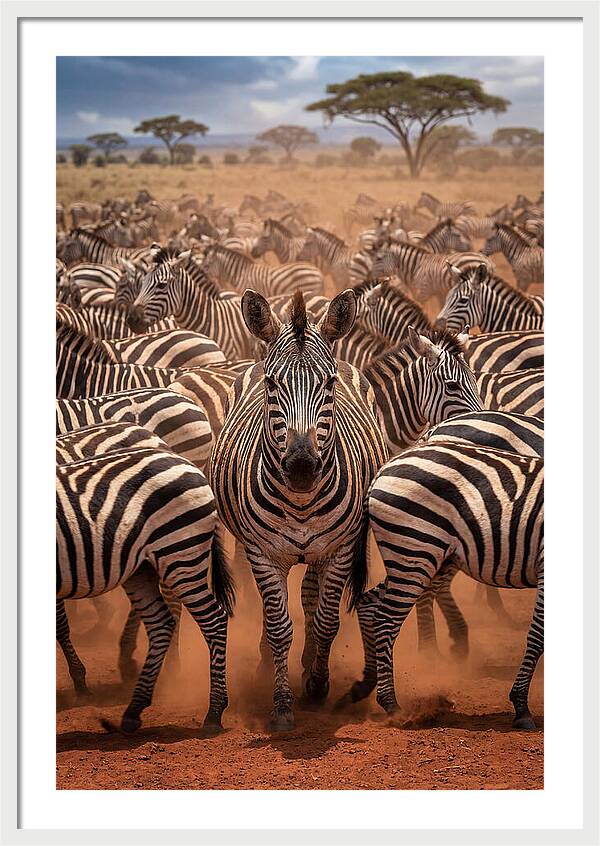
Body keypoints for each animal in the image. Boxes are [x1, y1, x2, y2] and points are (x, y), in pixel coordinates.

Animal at [57, 445, 234, 732]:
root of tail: (187, 463)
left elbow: (60, 625)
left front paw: (81, 683)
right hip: (143, 567)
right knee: (161, 622)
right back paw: (134, 708)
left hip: (179, 553)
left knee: (213, 620)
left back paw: (214, 712)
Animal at [209, 289, 388, 730]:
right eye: (272, 384)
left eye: (329, 384)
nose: (303, 467)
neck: (302, 502)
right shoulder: (262, 553)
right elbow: (278, 626)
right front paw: (282, 704)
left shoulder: (341, 549)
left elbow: (326, 619)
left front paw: (317, 685)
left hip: (324, 550)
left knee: (311, 594)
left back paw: (309, 664)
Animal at [352, 442, 543, 730]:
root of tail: (385, 468)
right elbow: (537, 636)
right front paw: (521, 707)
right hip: (415, 549)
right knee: (385, 620)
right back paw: (392, 705)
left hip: (416, 557)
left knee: (368, 604)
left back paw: (365, 684)